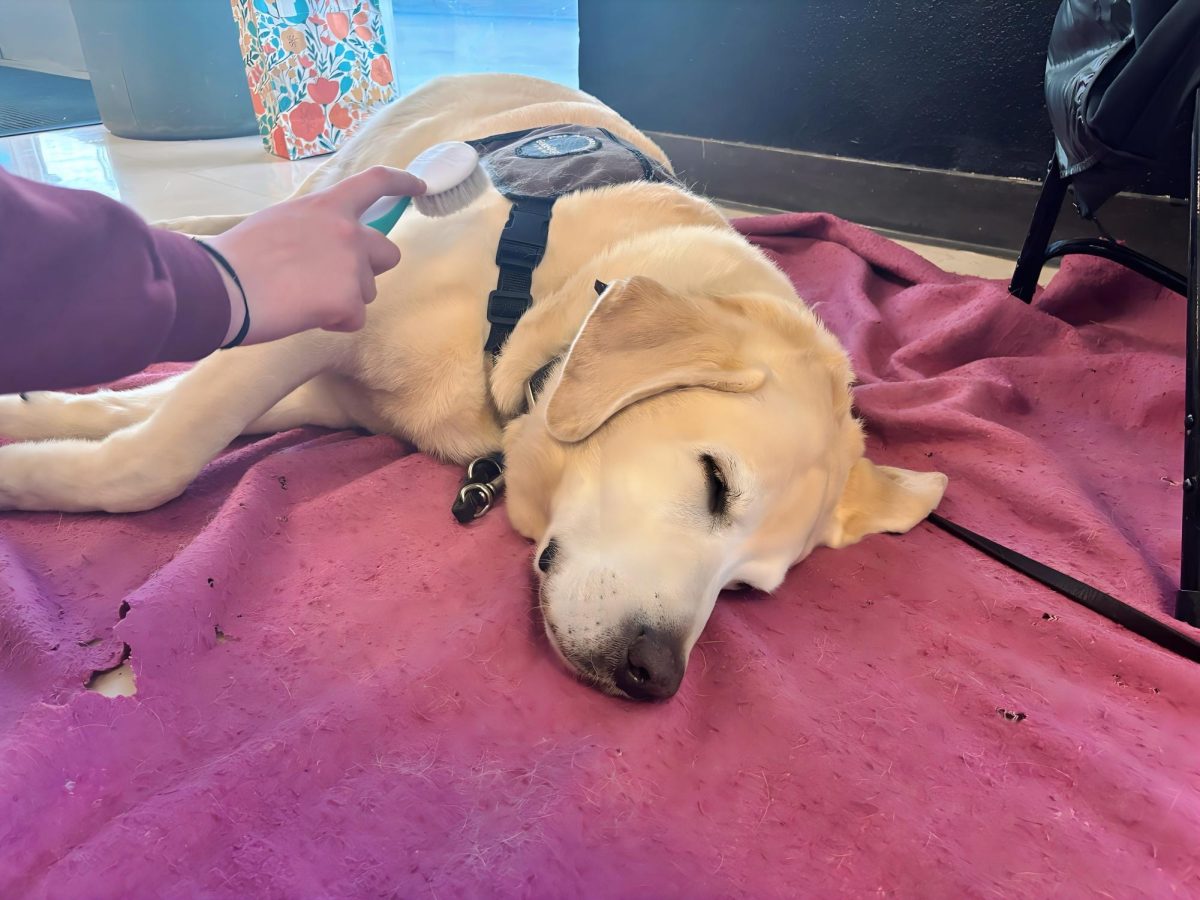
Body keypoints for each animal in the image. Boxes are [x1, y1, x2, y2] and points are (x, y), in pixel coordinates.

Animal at [0, 74, 945, 700]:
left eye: (746, 590)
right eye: (716, 482)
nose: (655, 677)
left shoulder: (327, 390)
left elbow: (140, 410)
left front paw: (30, 425)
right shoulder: (317, 306)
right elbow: (157, 455)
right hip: (323, 203)